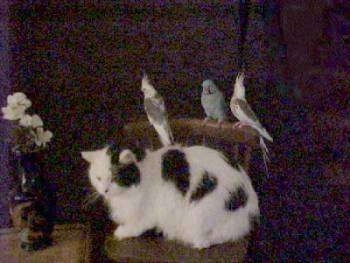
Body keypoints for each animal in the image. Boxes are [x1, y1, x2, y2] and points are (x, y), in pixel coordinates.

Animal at [80, 144, 258, 250]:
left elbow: (137, 225)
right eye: (98, 178)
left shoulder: (153, 209)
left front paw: (123, 232)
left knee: (212, 240)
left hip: (202, 211)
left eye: (114, 178)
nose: (104, 190)